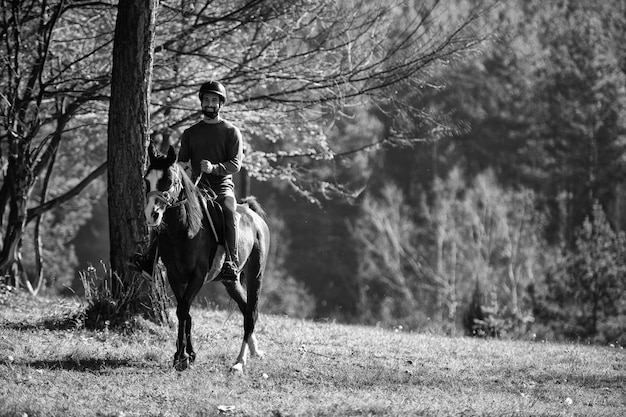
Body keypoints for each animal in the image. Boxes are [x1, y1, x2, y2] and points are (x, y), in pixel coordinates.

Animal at [143, 144, 270, 370]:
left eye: (169, 181)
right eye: (146, 180)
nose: (152, 215)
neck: (184, 230)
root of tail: (253, 215)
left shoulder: (198, 276)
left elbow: (183, 309)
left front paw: (181, 357)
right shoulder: (175, 275)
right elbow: (185, 312)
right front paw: (187, 354)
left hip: (256, 274)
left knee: (251, 313)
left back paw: (240, 362)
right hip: (231, 282)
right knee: (246, 308)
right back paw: (254, 350)